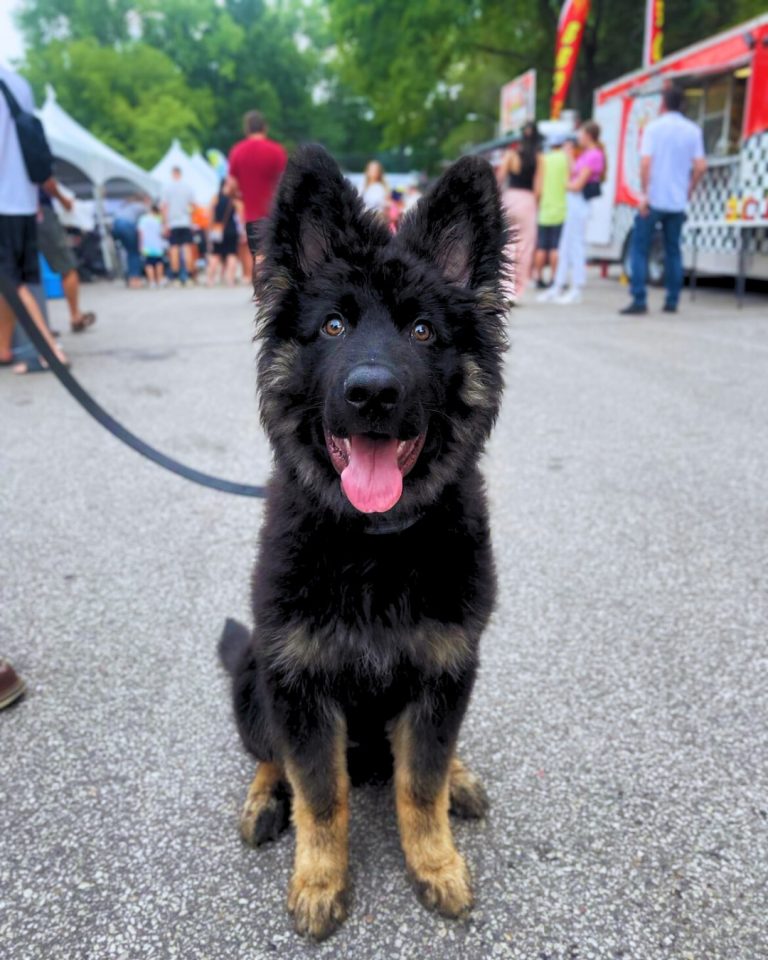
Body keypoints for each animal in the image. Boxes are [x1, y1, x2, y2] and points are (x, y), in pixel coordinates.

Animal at [220, 146, 510, 940]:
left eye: (422, 332)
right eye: (332, 326)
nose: (372, 393)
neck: (376, 546)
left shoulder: (444, 675)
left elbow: (421, 784)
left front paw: (435, 864)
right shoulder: (301, 684)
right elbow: (322, 794)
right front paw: (320, 880)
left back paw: (462, 778)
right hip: (254, 674)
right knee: (272, 757)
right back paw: (264, 798)